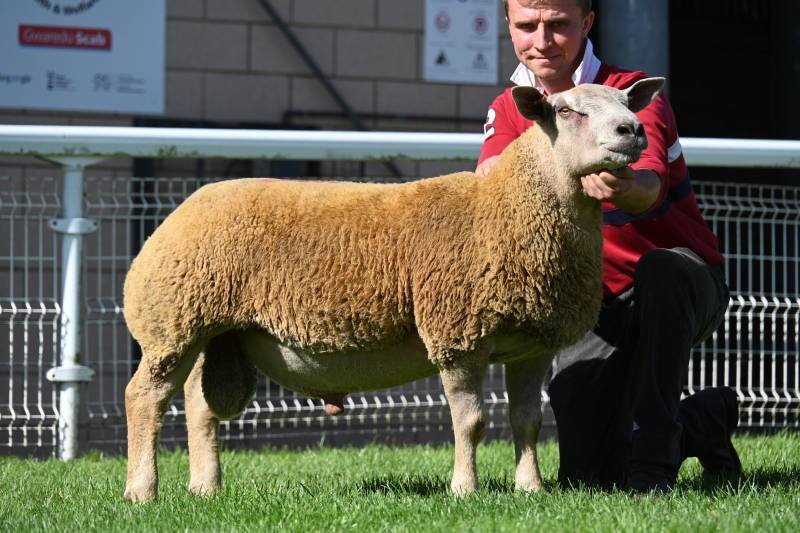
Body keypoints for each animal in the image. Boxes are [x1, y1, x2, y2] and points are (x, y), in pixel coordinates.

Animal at [122, 77, 665, 502]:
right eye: (567, 111)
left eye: (627, 103)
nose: (632, 131)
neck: (505, 211)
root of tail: (181, 209)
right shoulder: (458, 335)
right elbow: (471, 422)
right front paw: (464, 490)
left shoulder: (532, 345)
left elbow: (527, 421)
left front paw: (530, 489)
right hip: (171, 325)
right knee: (144, 399)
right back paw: (142, 492)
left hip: (215, 333)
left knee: (199, 408)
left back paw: (205, 488)